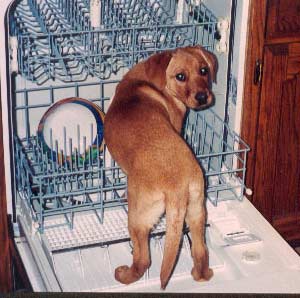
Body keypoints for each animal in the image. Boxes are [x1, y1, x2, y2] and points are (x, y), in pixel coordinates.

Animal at [104, 46, 217, 288]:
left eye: (203, 71)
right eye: (181, 76)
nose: (203, 97)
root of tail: (178, 188)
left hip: (138, 218)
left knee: (143, 259)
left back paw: (124, 276)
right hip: (197, 210)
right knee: (200, 250)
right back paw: (202, 275)